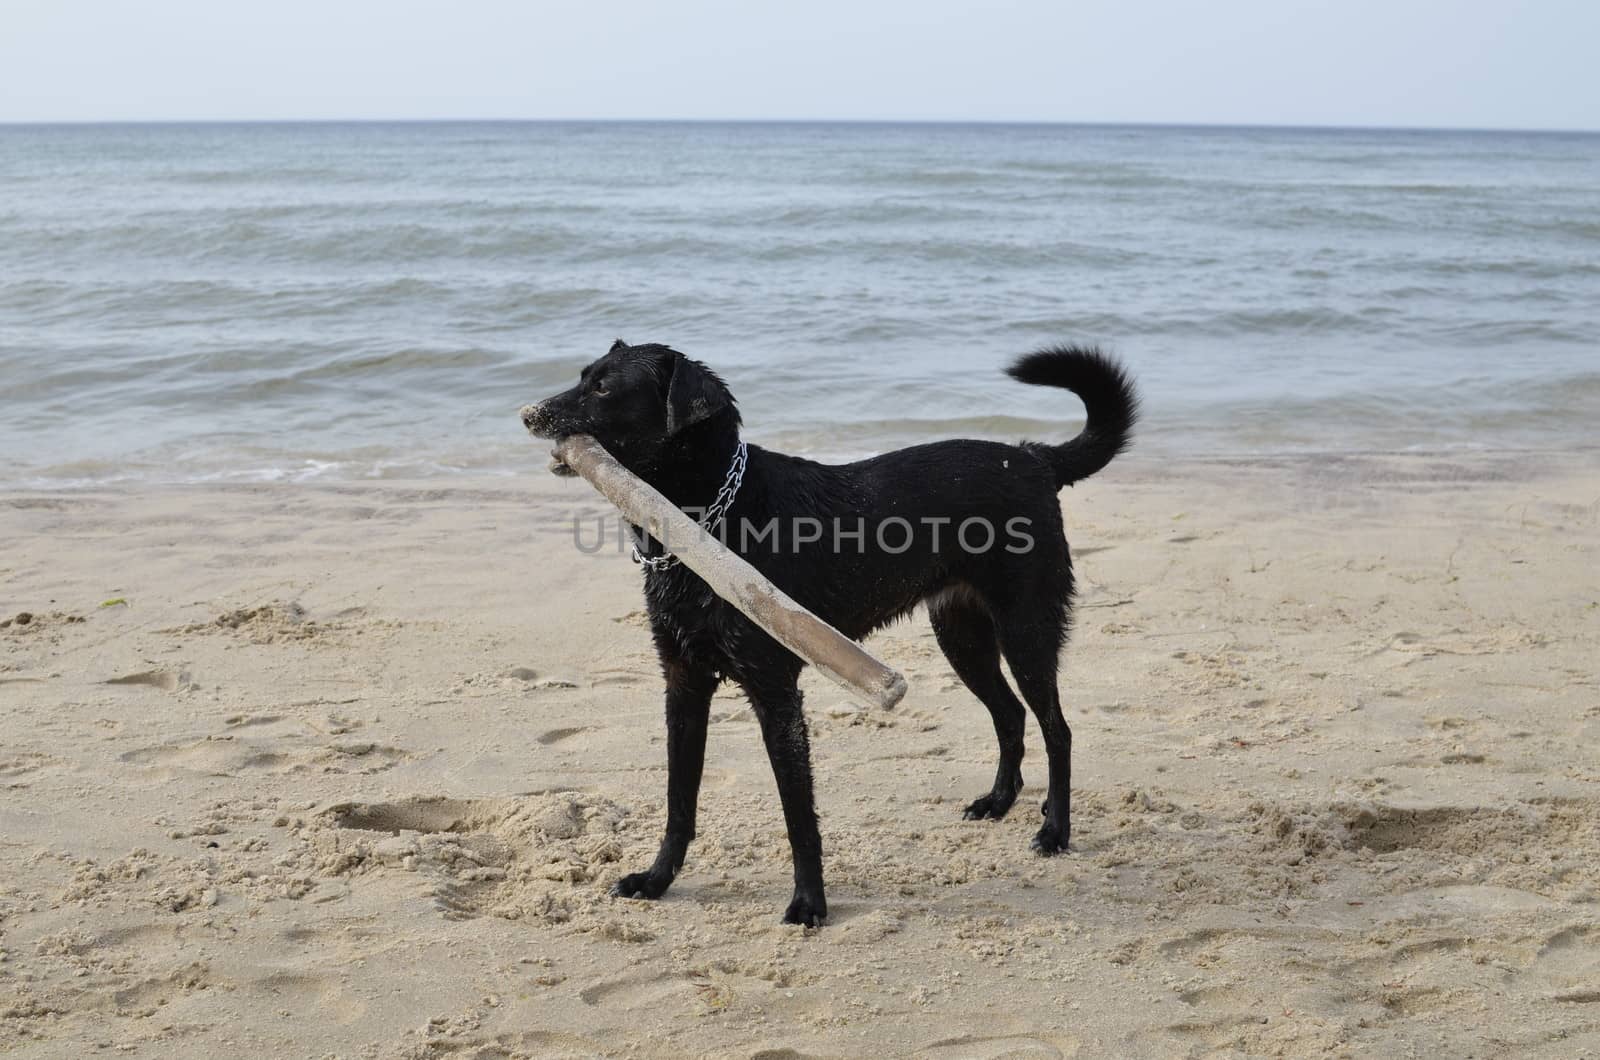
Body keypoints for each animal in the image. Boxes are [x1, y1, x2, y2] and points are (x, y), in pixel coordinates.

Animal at [524, 344, 1139, 928]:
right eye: (582, 376)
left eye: (604, 387)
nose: (530, 414)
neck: (705, 524)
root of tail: (1034, 457)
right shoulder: (683, 685)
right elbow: (680, 801)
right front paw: (656, 881)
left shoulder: (775, 694)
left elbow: (799, 815)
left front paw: (809, 904)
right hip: (961, 636)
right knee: (1009, 715)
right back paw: (998, 802)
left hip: (1025, 631)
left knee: (1056, 728)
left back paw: (1055, 831)